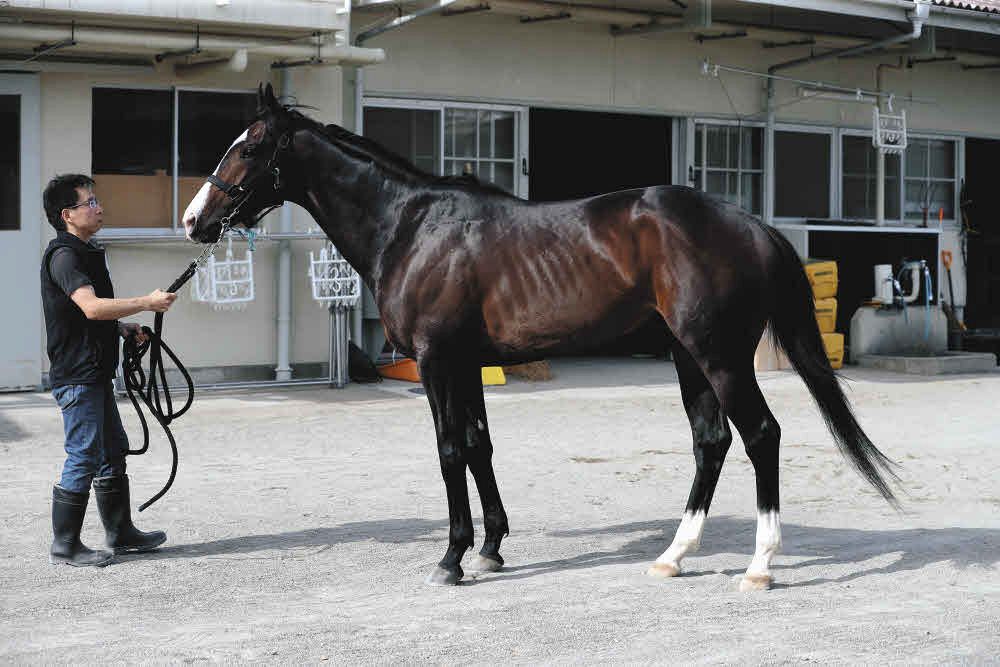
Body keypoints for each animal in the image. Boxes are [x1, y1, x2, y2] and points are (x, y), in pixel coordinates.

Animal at [182, 83, 898, 590]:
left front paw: (451, 558)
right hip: (686, 355)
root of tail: (751, 224)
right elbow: (479, 446)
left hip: (718, 356)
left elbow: (449, 450)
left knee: (760, 435)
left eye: (250, 147)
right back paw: (674, 554)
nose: (194, 220)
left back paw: (759, 565)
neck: (412, 225)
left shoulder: (439, 363)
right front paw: (491, 548)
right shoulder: (466, 364)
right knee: (711, 441)